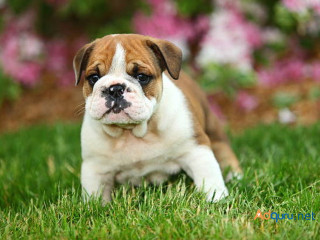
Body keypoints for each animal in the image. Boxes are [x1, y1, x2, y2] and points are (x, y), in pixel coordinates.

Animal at [73, 33, 242, 202]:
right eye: (94, 77)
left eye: (142, 77)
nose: (115, 89)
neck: (132, 132)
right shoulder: (95, 167)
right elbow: (95, 195)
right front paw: (96, 206)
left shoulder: (195, 149)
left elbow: (209, 178)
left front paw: (217, 199)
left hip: (214, 131)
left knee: (224, 150)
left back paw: (235, 175)